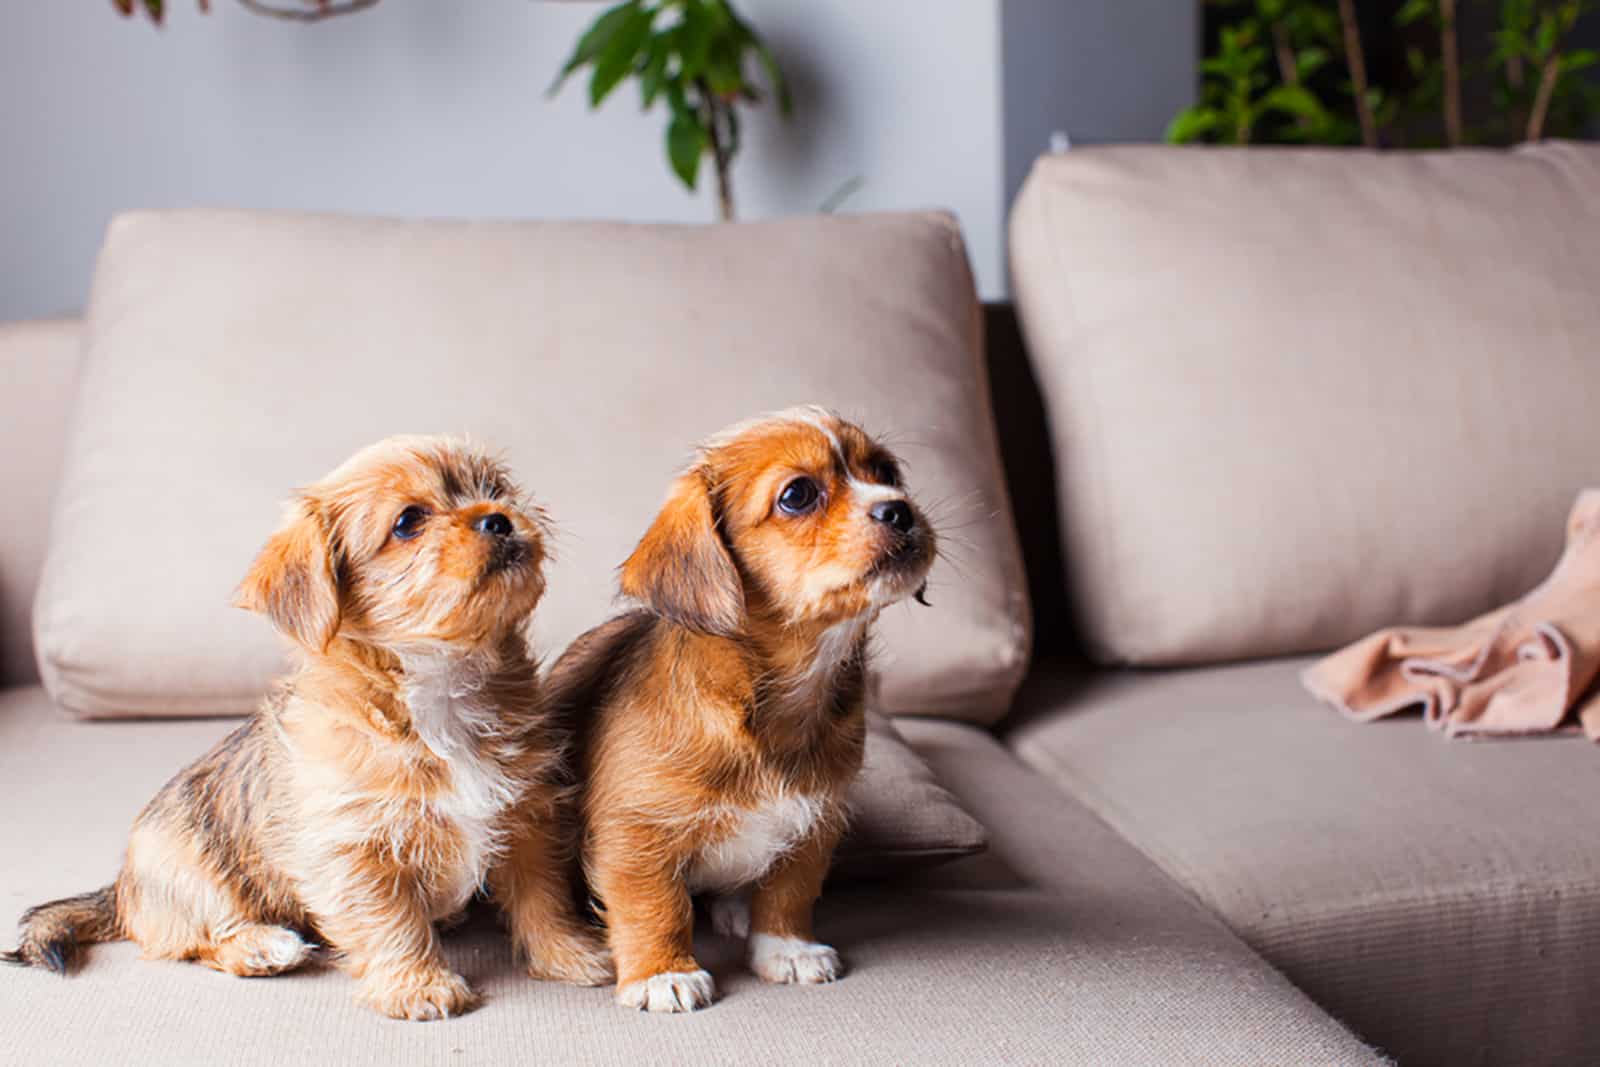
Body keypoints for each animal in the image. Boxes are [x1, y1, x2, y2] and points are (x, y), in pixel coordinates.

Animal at [0, 438, 608, 1023]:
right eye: (409, 521)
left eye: (494, 489)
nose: (499, 519)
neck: (439, 689)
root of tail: (120, 886)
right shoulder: (355, 849)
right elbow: (391, 921)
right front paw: (417, 984)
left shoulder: (528, 816)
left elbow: (543, 898)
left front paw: (570, 954)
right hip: (188, 871)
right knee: (194, 936)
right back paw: (261, 947)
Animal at [540, 404, 934, 1017]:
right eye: (798, 495)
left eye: (888, 473)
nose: (901, 508)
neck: (776, 702)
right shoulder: (634, 831)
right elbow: (655, 906)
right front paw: (662, 972)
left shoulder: (817, 820)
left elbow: (790, 892)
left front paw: (786, 947)